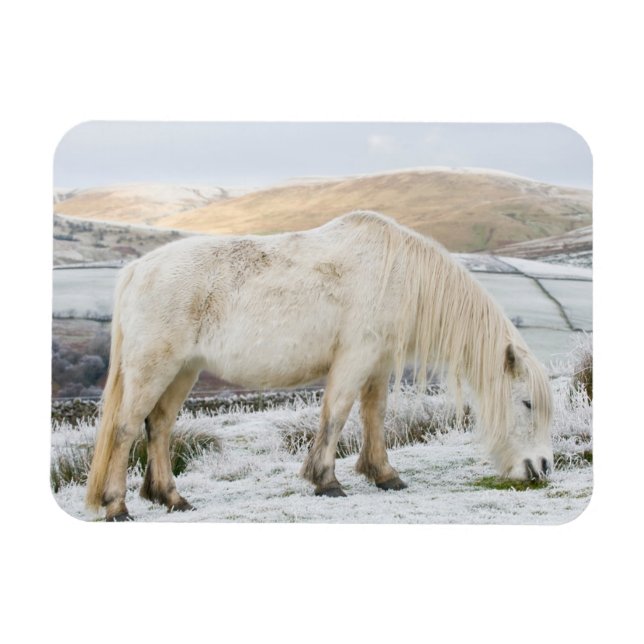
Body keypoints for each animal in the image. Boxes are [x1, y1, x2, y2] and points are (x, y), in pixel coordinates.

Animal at [85, 211, 553, 521]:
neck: (398, 272)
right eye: (527, 403)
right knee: (126, 429)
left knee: (159, 426)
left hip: (184, 370)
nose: (543, 468)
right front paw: (326, 480)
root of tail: (136, 269)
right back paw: (117, 505)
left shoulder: (378, 362)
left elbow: (374, 415)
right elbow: (337, 414)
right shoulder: (356, 357)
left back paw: (172, 498)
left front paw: (383, 474)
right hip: (154, 367)